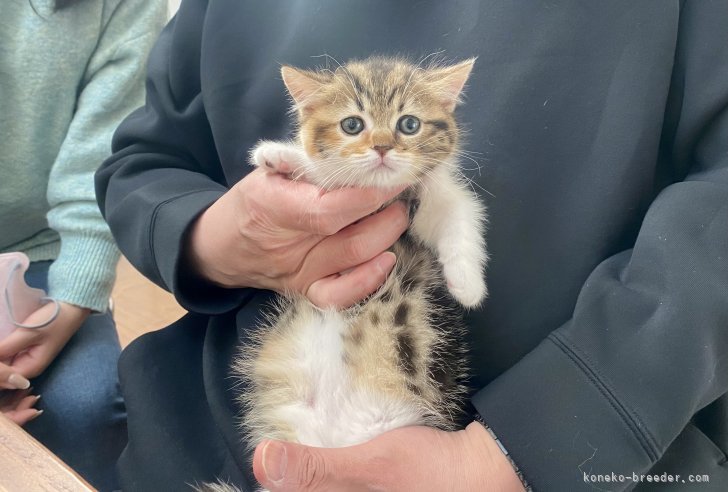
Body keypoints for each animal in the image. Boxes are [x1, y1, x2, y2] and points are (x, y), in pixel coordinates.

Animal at [220, 56, 490, 488]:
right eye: (352, 125)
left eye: (409, 124)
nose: (381, 147)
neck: (385, 195)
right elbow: (328, 171)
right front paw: (282, 156)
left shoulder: (437, 195)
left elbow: (461, 215)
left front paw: (467, 285)